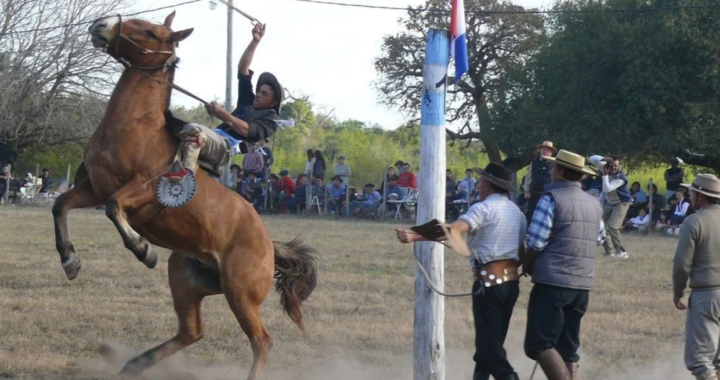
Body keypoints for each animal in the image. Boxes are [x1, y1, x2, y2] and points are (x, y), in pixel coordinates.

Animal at [52, 11, 316, 380]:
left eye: (151, 32)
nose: (100, 25)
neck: (134, 127)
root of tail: (269, 246)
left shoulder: (143, 191)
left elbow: (113, 208)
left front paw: (143, 249)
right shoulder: (93, 188)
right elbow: (60, 205)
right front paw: (70, 261)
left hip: (240, 291)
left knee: (261, 341)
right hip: (186, 279)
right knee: (191, 331)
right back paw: (135, 363)